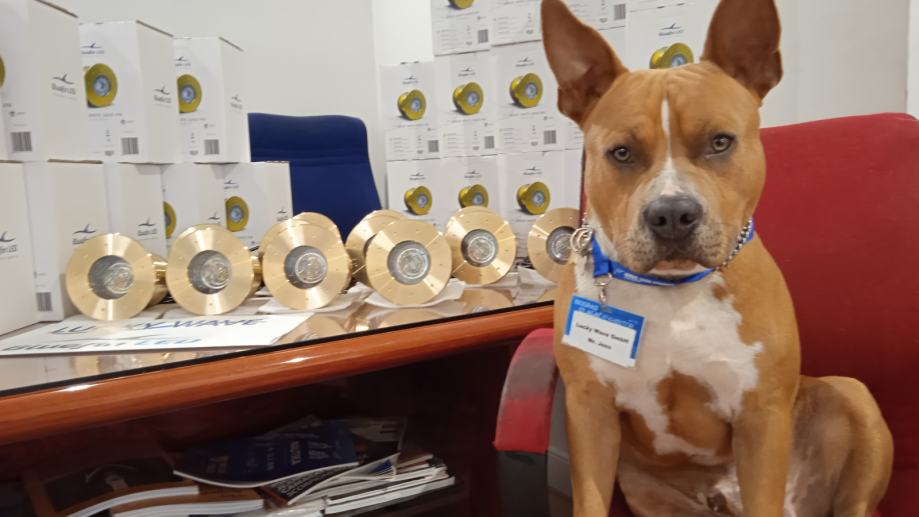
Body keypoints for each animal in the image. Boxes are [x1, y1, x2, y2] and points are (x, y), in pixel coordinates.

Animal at [541, 0, 894, 515]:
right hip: (642, 485)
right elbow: (589, 501)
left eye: (720, 142)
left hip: (854, 398)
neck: (671, 291)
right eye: (621, 153)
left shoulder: (760, 416)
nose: (671, 214)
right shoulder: (590, 412)